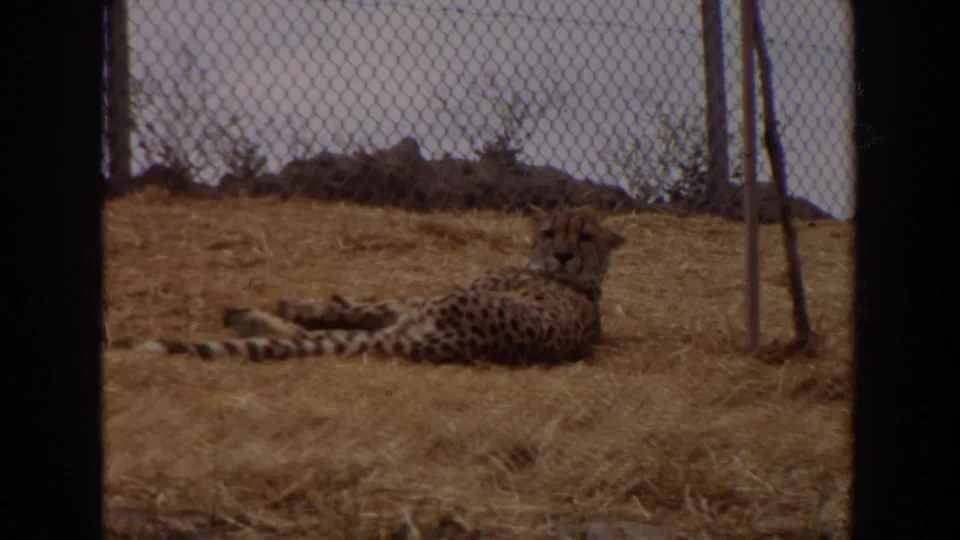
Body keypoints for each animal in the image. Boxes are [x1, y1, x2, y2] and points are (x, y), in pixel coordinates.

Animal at [117, 208, 626, 365]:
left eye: (584, 235)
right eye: (551, 231)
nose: (563, 255)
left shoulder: (422, 298)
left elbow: (366, 305)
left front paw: (305, 302)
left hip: (434, 307)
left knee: (329, 330)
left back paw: (256, 316)